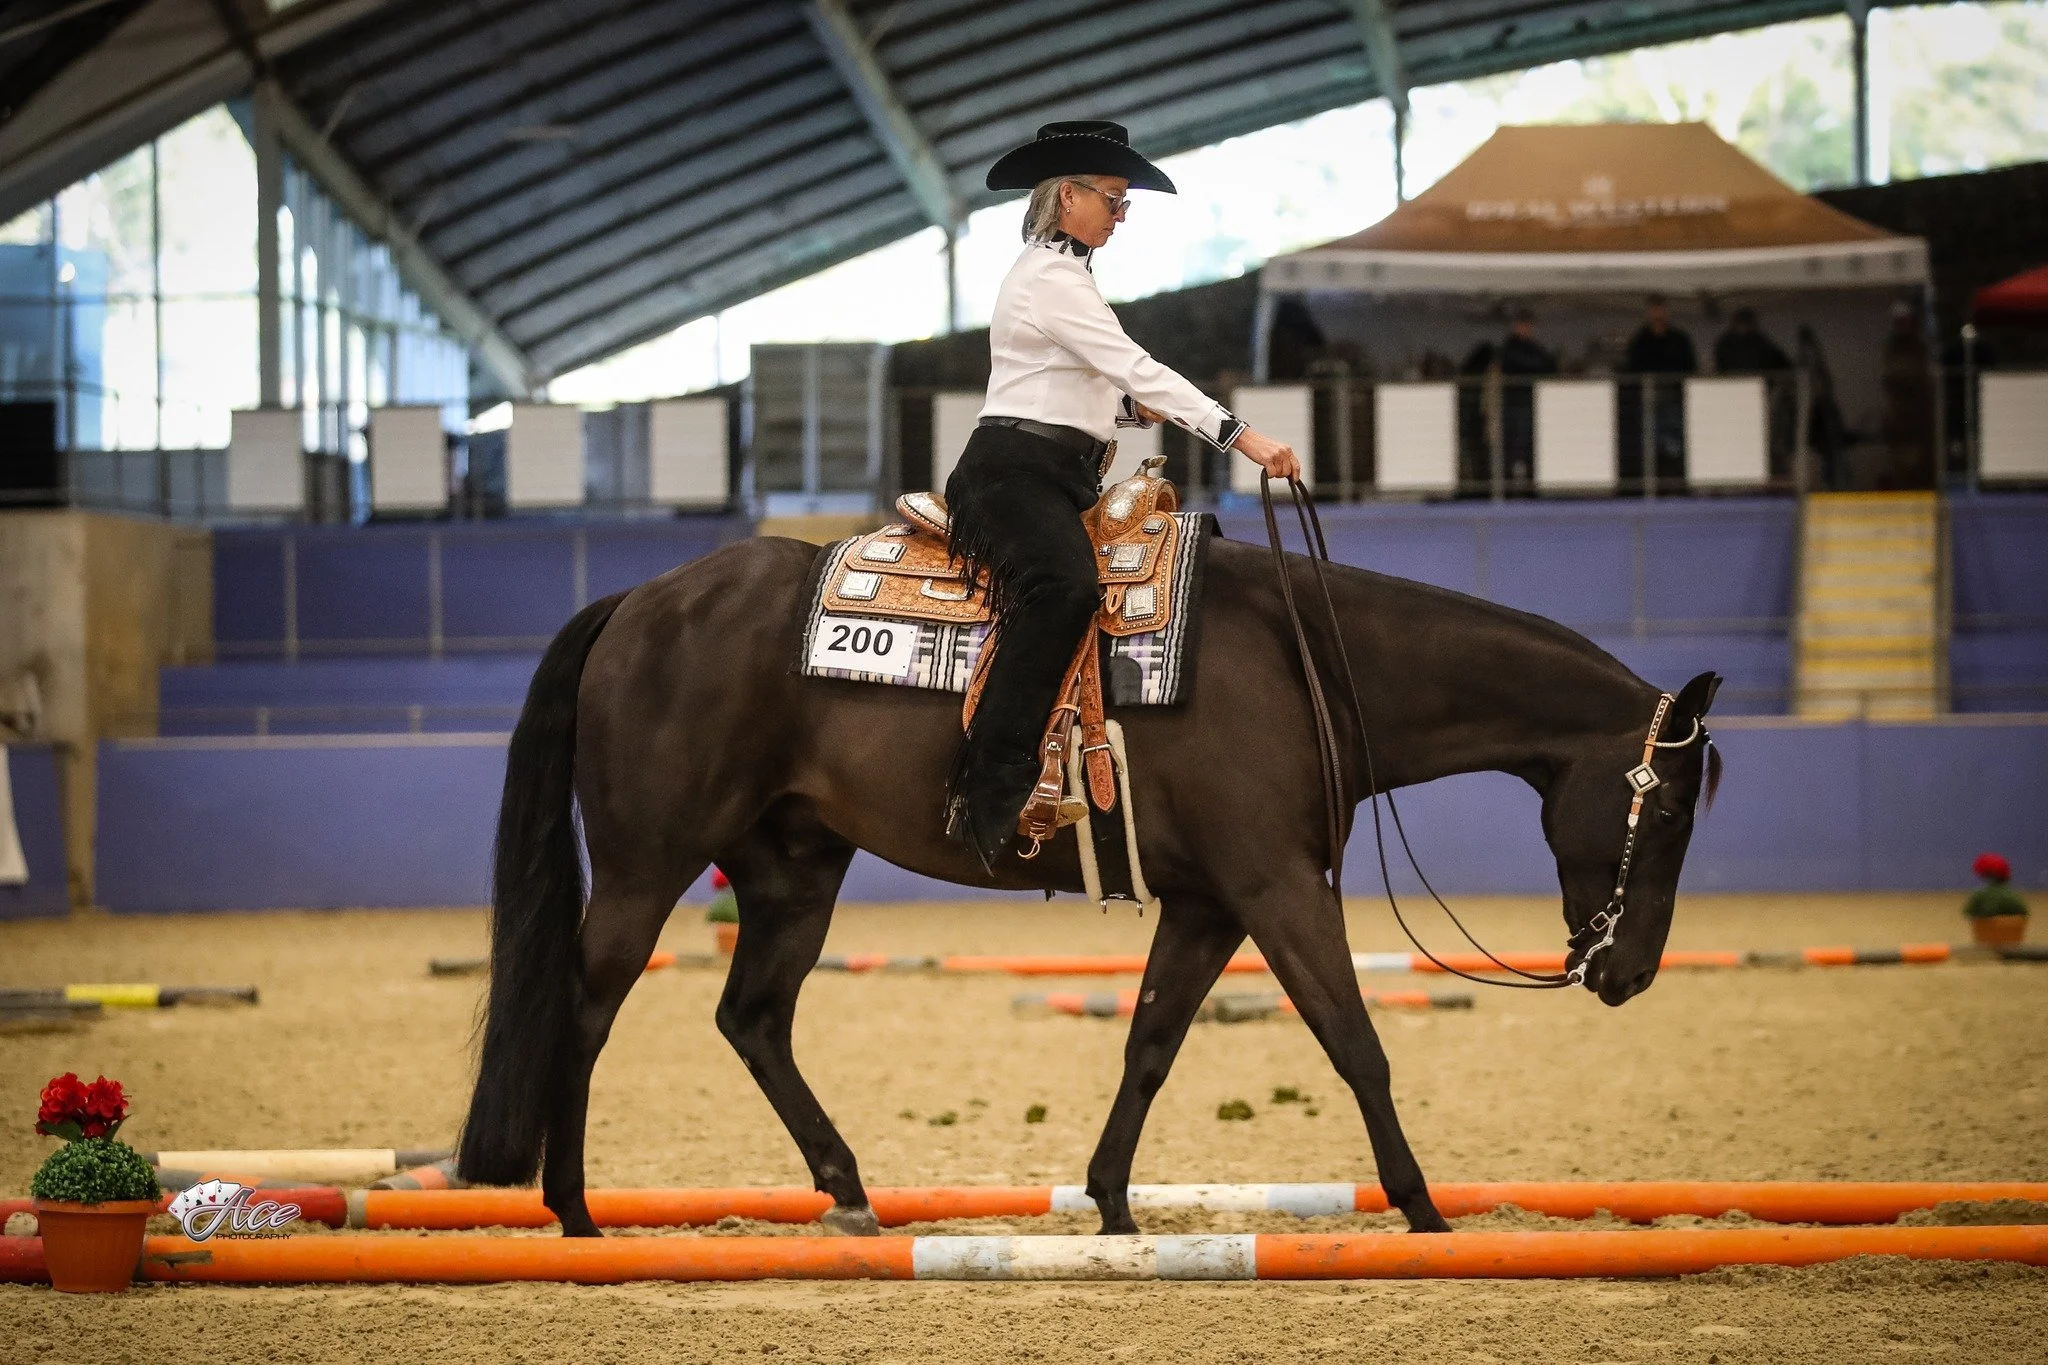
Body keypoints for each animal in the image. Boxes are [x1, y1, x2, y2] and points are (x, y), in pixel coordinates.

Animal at [454, 529, 1722, 1239]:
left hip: (792, 869)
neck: (1305, 660)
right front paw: (1419, 1206)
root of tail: (640, 601)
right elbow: (1355, 1043)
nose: (1626, 972)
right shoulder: (1276, 886)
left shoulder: (1213, 902)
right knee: (585, 1010)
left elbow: (1149, 1041)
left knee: (752, 1017)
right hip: (647, 864)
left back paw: (848, 1191)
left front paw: (1109, 1199)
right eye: (1662, 809)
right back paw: (574, 1211)